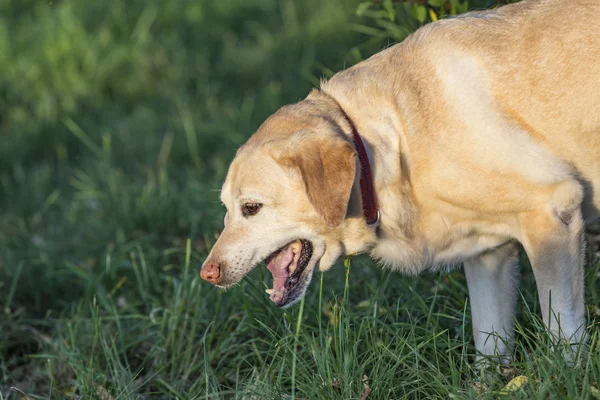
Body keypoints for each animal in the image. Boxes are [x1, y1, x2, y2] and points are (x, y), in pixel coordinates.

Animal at [202, 0, 600, 362]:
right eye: (226, 209)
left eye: (251, 208)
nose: (208, 273)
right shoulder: (488, 253)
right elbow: (489, 343)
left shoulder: (553, 213)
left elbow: (563, 332)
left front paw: (568, 377)